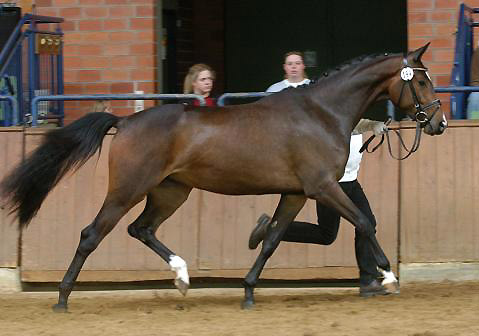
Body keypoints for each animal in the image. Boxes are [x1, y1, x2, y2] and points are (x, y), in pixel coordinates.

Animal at [1, 43, 448, 312]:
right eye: (422, 80)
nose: (439, 123)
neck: (322, 112)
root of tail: (125, 122)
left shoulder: (296, 193)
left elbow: (271, 239)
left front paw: (248, 290)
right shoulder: (322, 186)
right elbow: (364, 222)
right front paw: (388, 277)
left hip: (171, 192)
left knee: (141, 229)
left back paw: (182, 276)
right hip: (128, 190)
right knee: (91, 234)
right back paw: (62, 298)